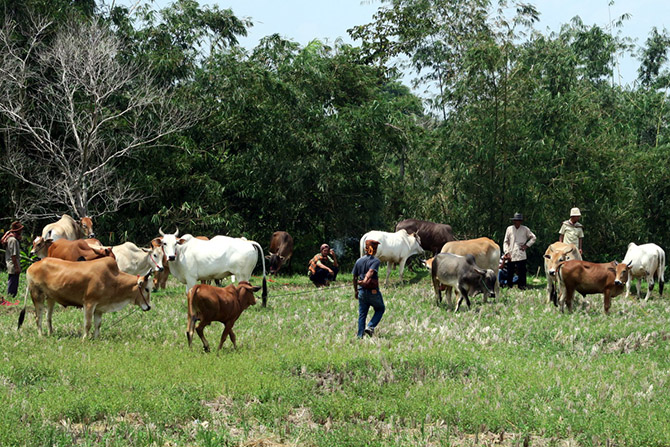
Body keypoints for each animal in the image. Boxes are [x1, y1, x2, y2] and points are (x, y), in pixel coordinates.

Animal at [19, 258, 156, 338]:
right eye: (146, 289)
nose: (148, 307)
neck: (113, 279)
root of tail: (32, 266)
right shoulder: (89, 303)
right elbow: (88, 324)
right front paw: (85, 339)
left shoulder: (99, 308)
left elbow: (98, 324)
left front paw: (96, 338)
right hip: (37, 296)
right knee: (38, 317)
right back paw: (41, 335)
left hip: (50, 298)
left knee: (48, 317)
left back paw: (50, 333)